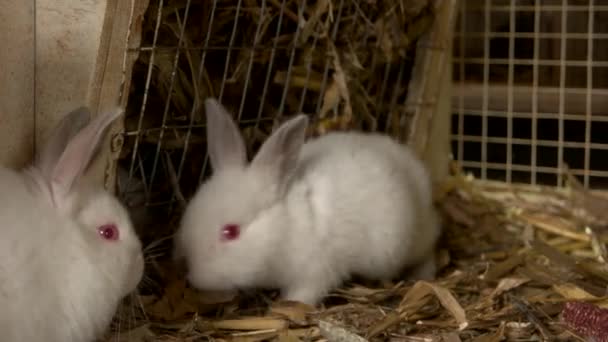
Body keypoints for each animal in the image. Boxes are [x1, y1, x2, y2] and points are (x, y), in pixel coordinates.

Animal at [176, 98, 442, 304]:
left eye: (230, 231)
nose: (194, 278)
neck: (286, 225)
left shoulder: (316, 271)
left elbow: (304, 294)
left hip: (407, 244)